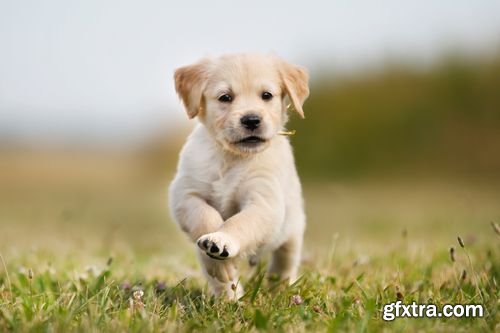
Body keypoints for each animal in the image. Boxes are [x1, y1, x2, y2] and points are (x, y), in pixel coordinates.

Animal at [168, 52, 308, 298]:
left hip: (293, 231)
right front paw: (219, 259)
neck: (231, 157)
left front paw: (222, 239)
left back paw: (280, 291)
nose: (251, 120)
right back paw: (229, 298)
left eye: (266, 95)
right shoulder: (185, 194)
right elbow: (206, 217)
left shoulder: (264, 201)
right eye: (225, 97)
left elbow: (240, 222)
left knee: (283, 265)